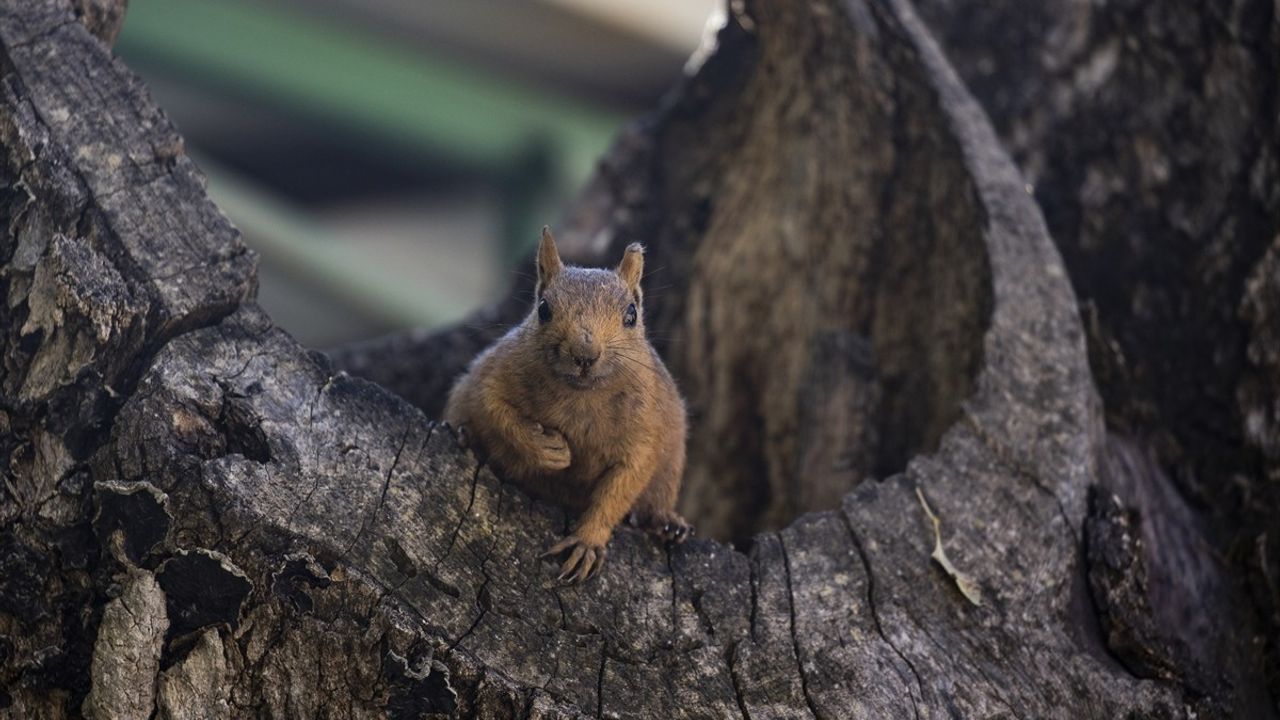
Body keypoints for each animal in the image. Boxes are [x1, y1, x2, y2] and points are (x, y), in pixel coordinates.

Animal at [448, 226, 696, 579]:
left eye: (631, 314)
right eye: (543, 309)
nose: (584, 354)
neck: (581, 395)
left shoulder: (646, 428)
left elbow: (623, 484)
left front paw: (587, 541)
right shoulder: (494, 375)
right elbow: (495, 409)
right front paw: (547, 449)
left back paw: (666, 523)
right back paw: (465, 436)